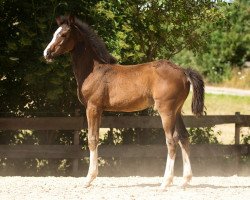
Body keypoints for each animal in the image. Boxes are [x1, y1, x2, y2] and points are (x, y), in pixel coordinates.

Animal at [44, 15, 204, 189]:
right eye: (54, 33)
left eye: (64, 34)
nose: (47, 53)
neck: (94, 71)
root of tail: (183, 71)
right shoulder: (99, 110)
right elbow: (96, 138)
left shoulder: (92, 108)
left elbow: (92, 139)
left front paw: (88, 179)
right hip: (177, 111)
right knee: (183, 137)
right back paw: (185, 181)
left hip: (166, 111)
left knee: (171, 141)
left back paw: (165, 183)